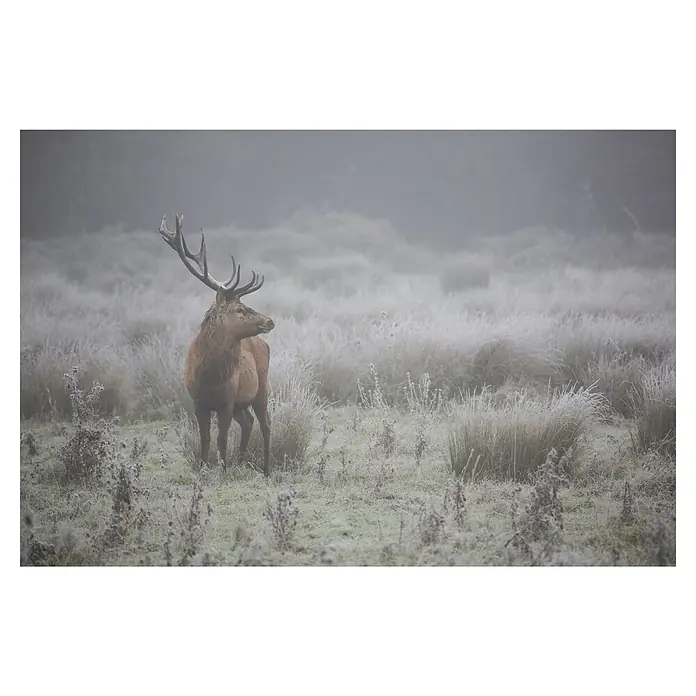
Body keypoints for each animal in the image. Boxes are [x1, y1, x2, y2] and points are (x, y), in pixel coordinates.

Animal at [158, 213, 275, 476]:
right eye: (240, 309)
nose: (270, 321)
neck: (209, 376)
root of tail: (264, 345)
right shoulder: (198, 402)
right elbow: (205, 438)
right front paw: (204, 468)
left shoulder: (227, 401)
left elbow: (221, 439)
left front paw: (223, 471)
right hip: (243, 402)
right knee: (249, 422)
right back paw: (241, 461)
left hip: (261, 386)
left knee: (266, 423)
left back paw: (266, 469)